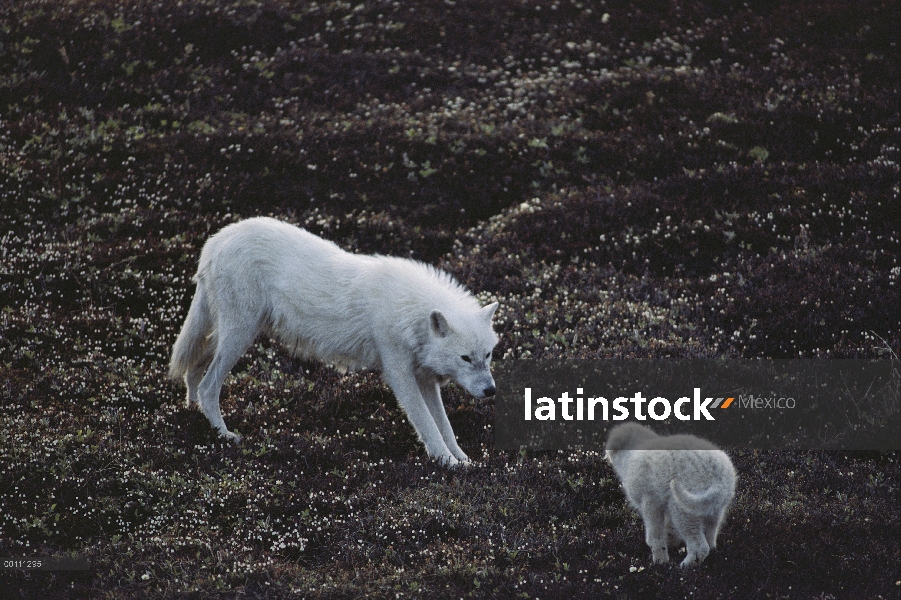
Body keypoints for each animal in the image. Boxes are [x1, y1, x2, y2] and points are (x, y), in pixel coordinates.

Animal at [165, 218, 496, 466]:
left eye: (488, 355)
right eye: (466, 358)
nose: (491, 391)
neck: (408, 310)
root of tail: (216, 240)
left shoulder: (425, 380)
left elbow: (446, 427)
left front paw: (464, 460)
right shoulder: (400, 376)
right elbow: (428, 425)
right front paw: (448, 463)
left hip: (229, 334)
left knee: (194, 371)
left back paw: (194, 416)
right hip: (239, 336)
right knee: (208, 386)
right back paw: (223, 435)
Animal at [604, 422, 740, 568]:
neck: (630, 454)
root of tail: (720, 481)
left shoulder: (650, 500)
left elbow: (655, 534)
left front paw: (660, 560)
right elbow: (670, 529)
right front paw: (670, 543)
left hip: (684, 508)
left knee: (699, 546)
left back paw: (686, 565)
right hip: (711, 508)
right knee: (711, 535)